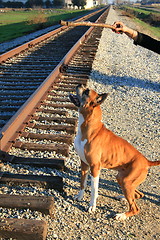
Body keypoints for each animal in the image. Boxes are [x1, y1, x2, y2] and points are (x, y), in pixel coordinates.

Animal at [69, 84, 160, 219]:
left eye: (87, 91)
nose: (79, 84)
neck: (89, 127)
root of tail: (147, 161)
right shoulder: (84, 164)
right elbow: (82, 183)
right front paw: (80, 196)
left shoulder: (95, 168)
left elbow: (94, 189)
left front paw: (92, 206)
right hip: (122, 179)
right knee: (138, 195)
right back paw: (123, 197)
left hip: (126, 181)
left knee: (135, 207)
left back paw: (122, 215)